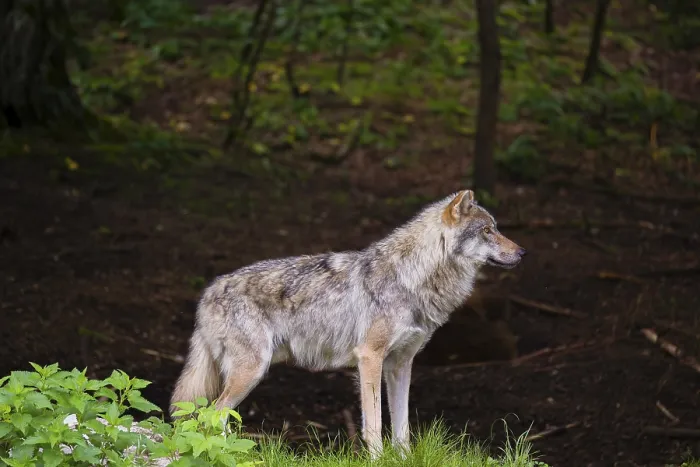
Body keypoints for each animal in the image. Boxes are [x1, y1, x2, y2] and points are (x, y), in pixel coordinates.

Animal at [170, 189, 526, 457]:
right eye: (488, 231)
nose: (522, 252)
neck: (412, 278)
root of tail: (209, 291)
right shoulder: (369, 357)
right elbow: (375, 425)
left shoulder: (401, 364)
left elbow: (402, 428)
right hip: (251, 371)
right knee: (213, 416)